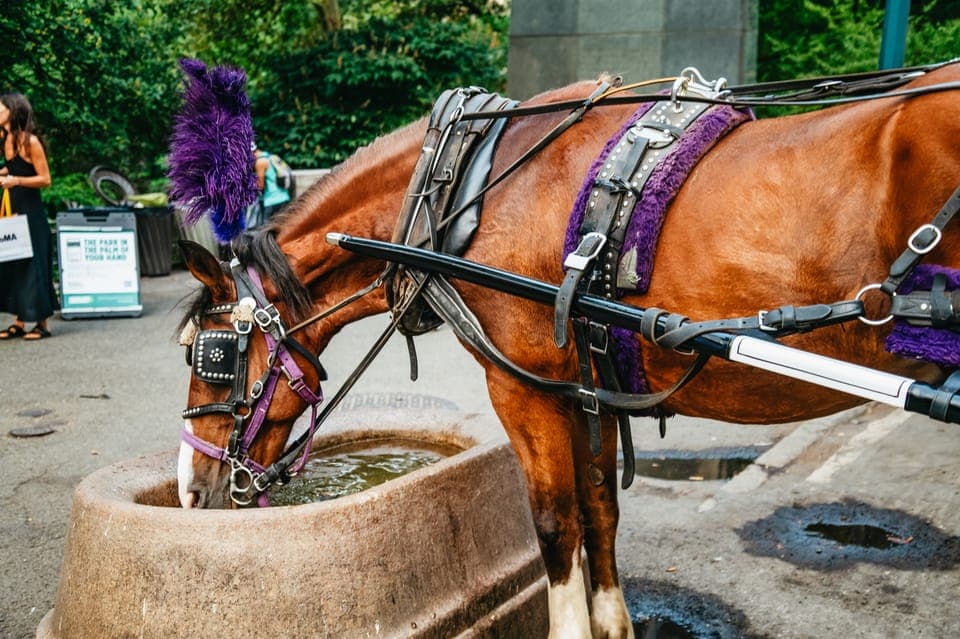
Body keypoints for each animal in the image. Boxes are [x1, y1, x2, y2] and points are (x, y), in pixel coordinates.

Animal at [173, 61, 960, 639]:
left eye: (210, 354)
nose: (190, 491)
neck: (477, 186)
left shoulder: (523, 387)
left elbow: (555, 524)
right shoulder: (588, 383)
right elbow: (600, 511)